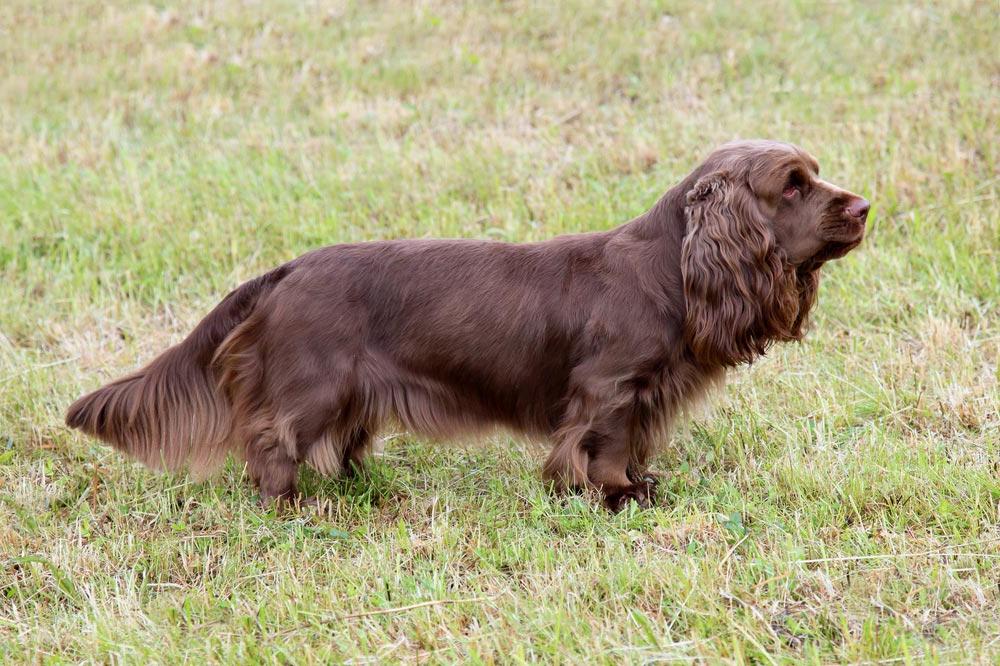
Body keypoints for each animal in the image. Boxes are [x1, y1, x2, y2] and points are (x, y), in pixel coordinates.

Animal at [68, 140, 868, 508]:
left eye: (815, 175)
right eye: (793, 185)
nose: (864, 205)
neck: (669, 270)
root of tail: (286, 270)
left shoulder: (646, 394)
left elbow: (635, 442)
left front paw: (637, 483)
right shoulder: (610, 388)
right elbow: (605, 445)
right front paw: (616, 494)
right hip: (313, 384)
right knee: (271, 440)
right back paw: (293, 506)